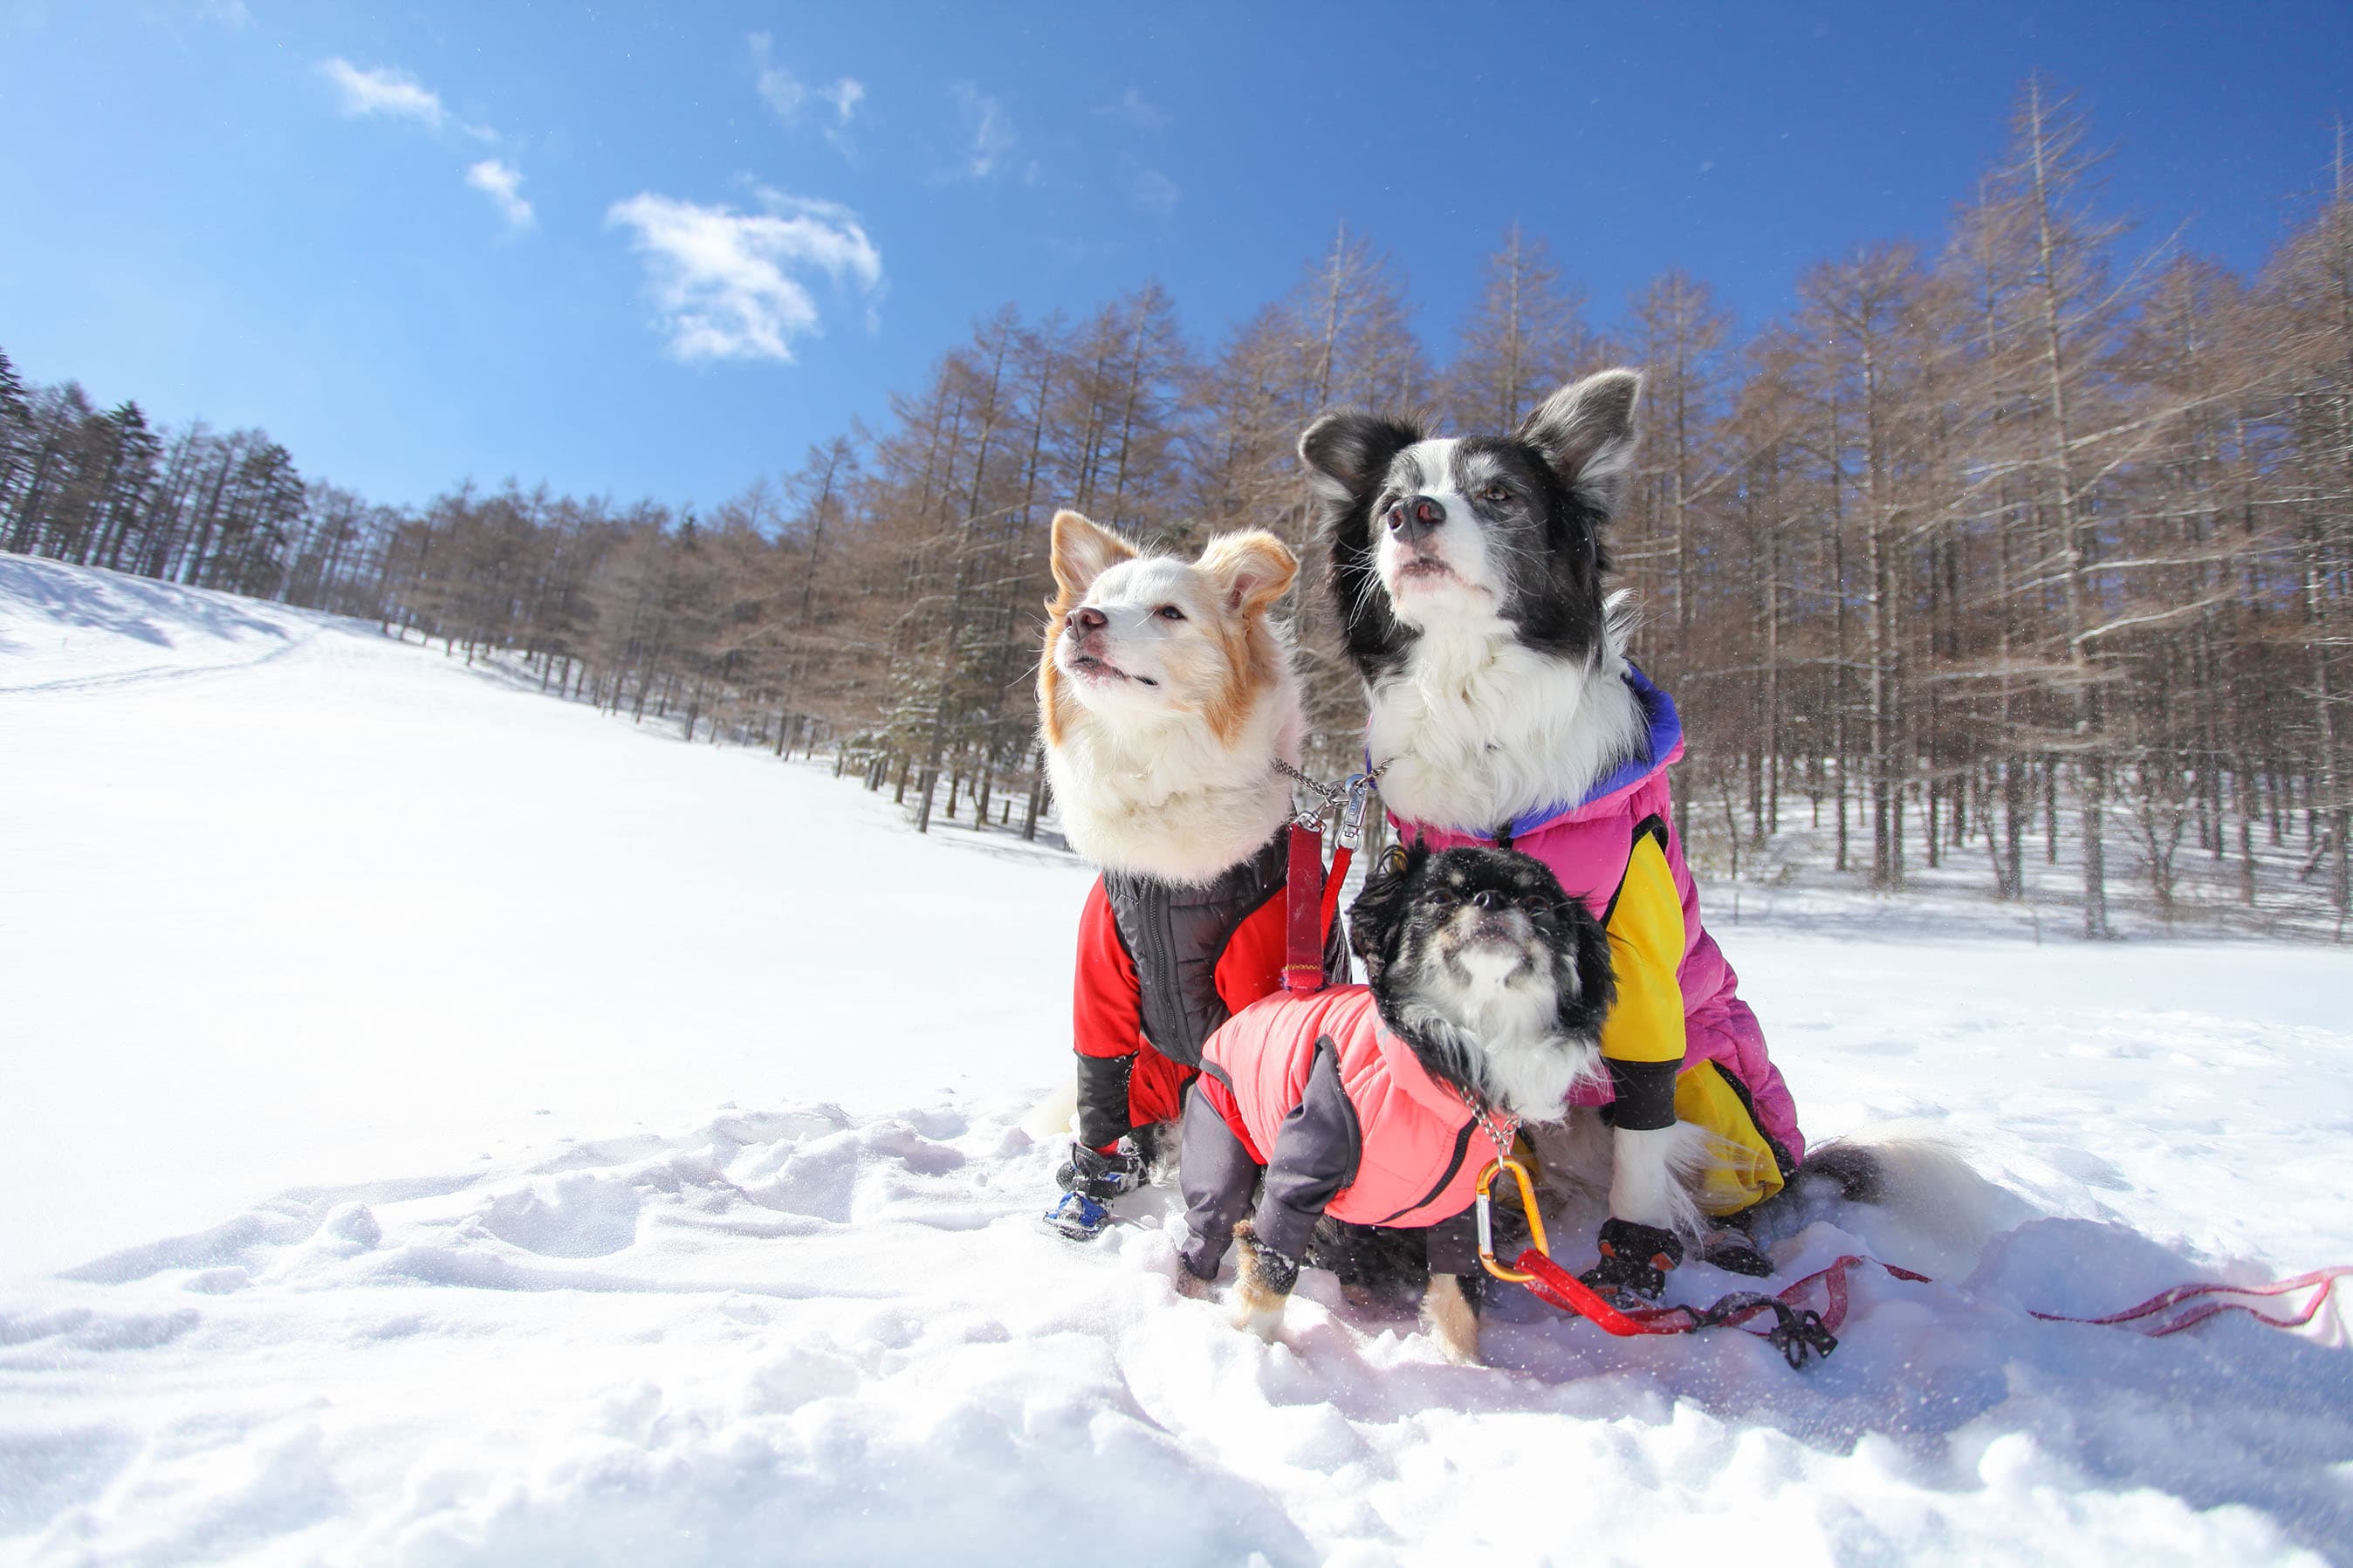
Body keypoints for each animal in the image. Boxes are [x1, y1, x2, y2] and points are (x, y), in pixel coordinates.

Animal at [1176, 841, 1618, 1363]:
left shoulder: (1462, 1211)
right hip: (1221, 1146)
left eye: (1537, 904)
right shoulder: (1297, 1179)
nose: (1491, 899)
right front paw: (1252, 1347)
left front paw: (1464, 1365)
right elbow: (1273, 1268)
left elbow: (1458, 1299)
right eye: (1440, 896)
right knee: (1209, 1229)